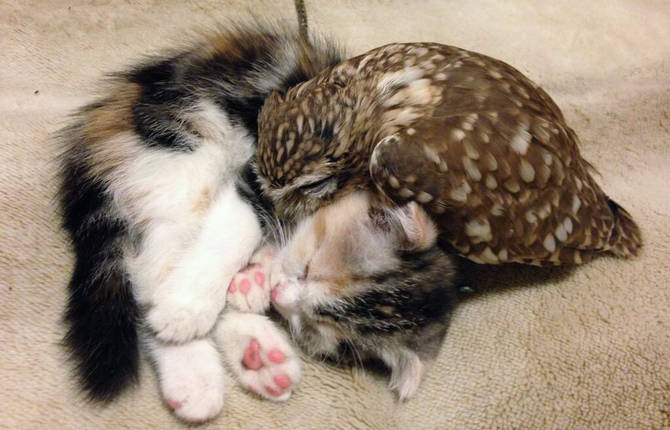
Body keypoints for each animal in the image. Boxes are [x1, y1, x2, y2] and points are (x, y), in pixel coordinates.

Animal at [55, 21, 344, 422]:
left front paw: (257, 277)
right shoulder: (265, 169)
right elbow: (242, 226)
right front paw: (190, 305)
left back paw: (258, 357)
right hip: (189, 148)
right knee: (149, 273)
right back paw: (190, 359)